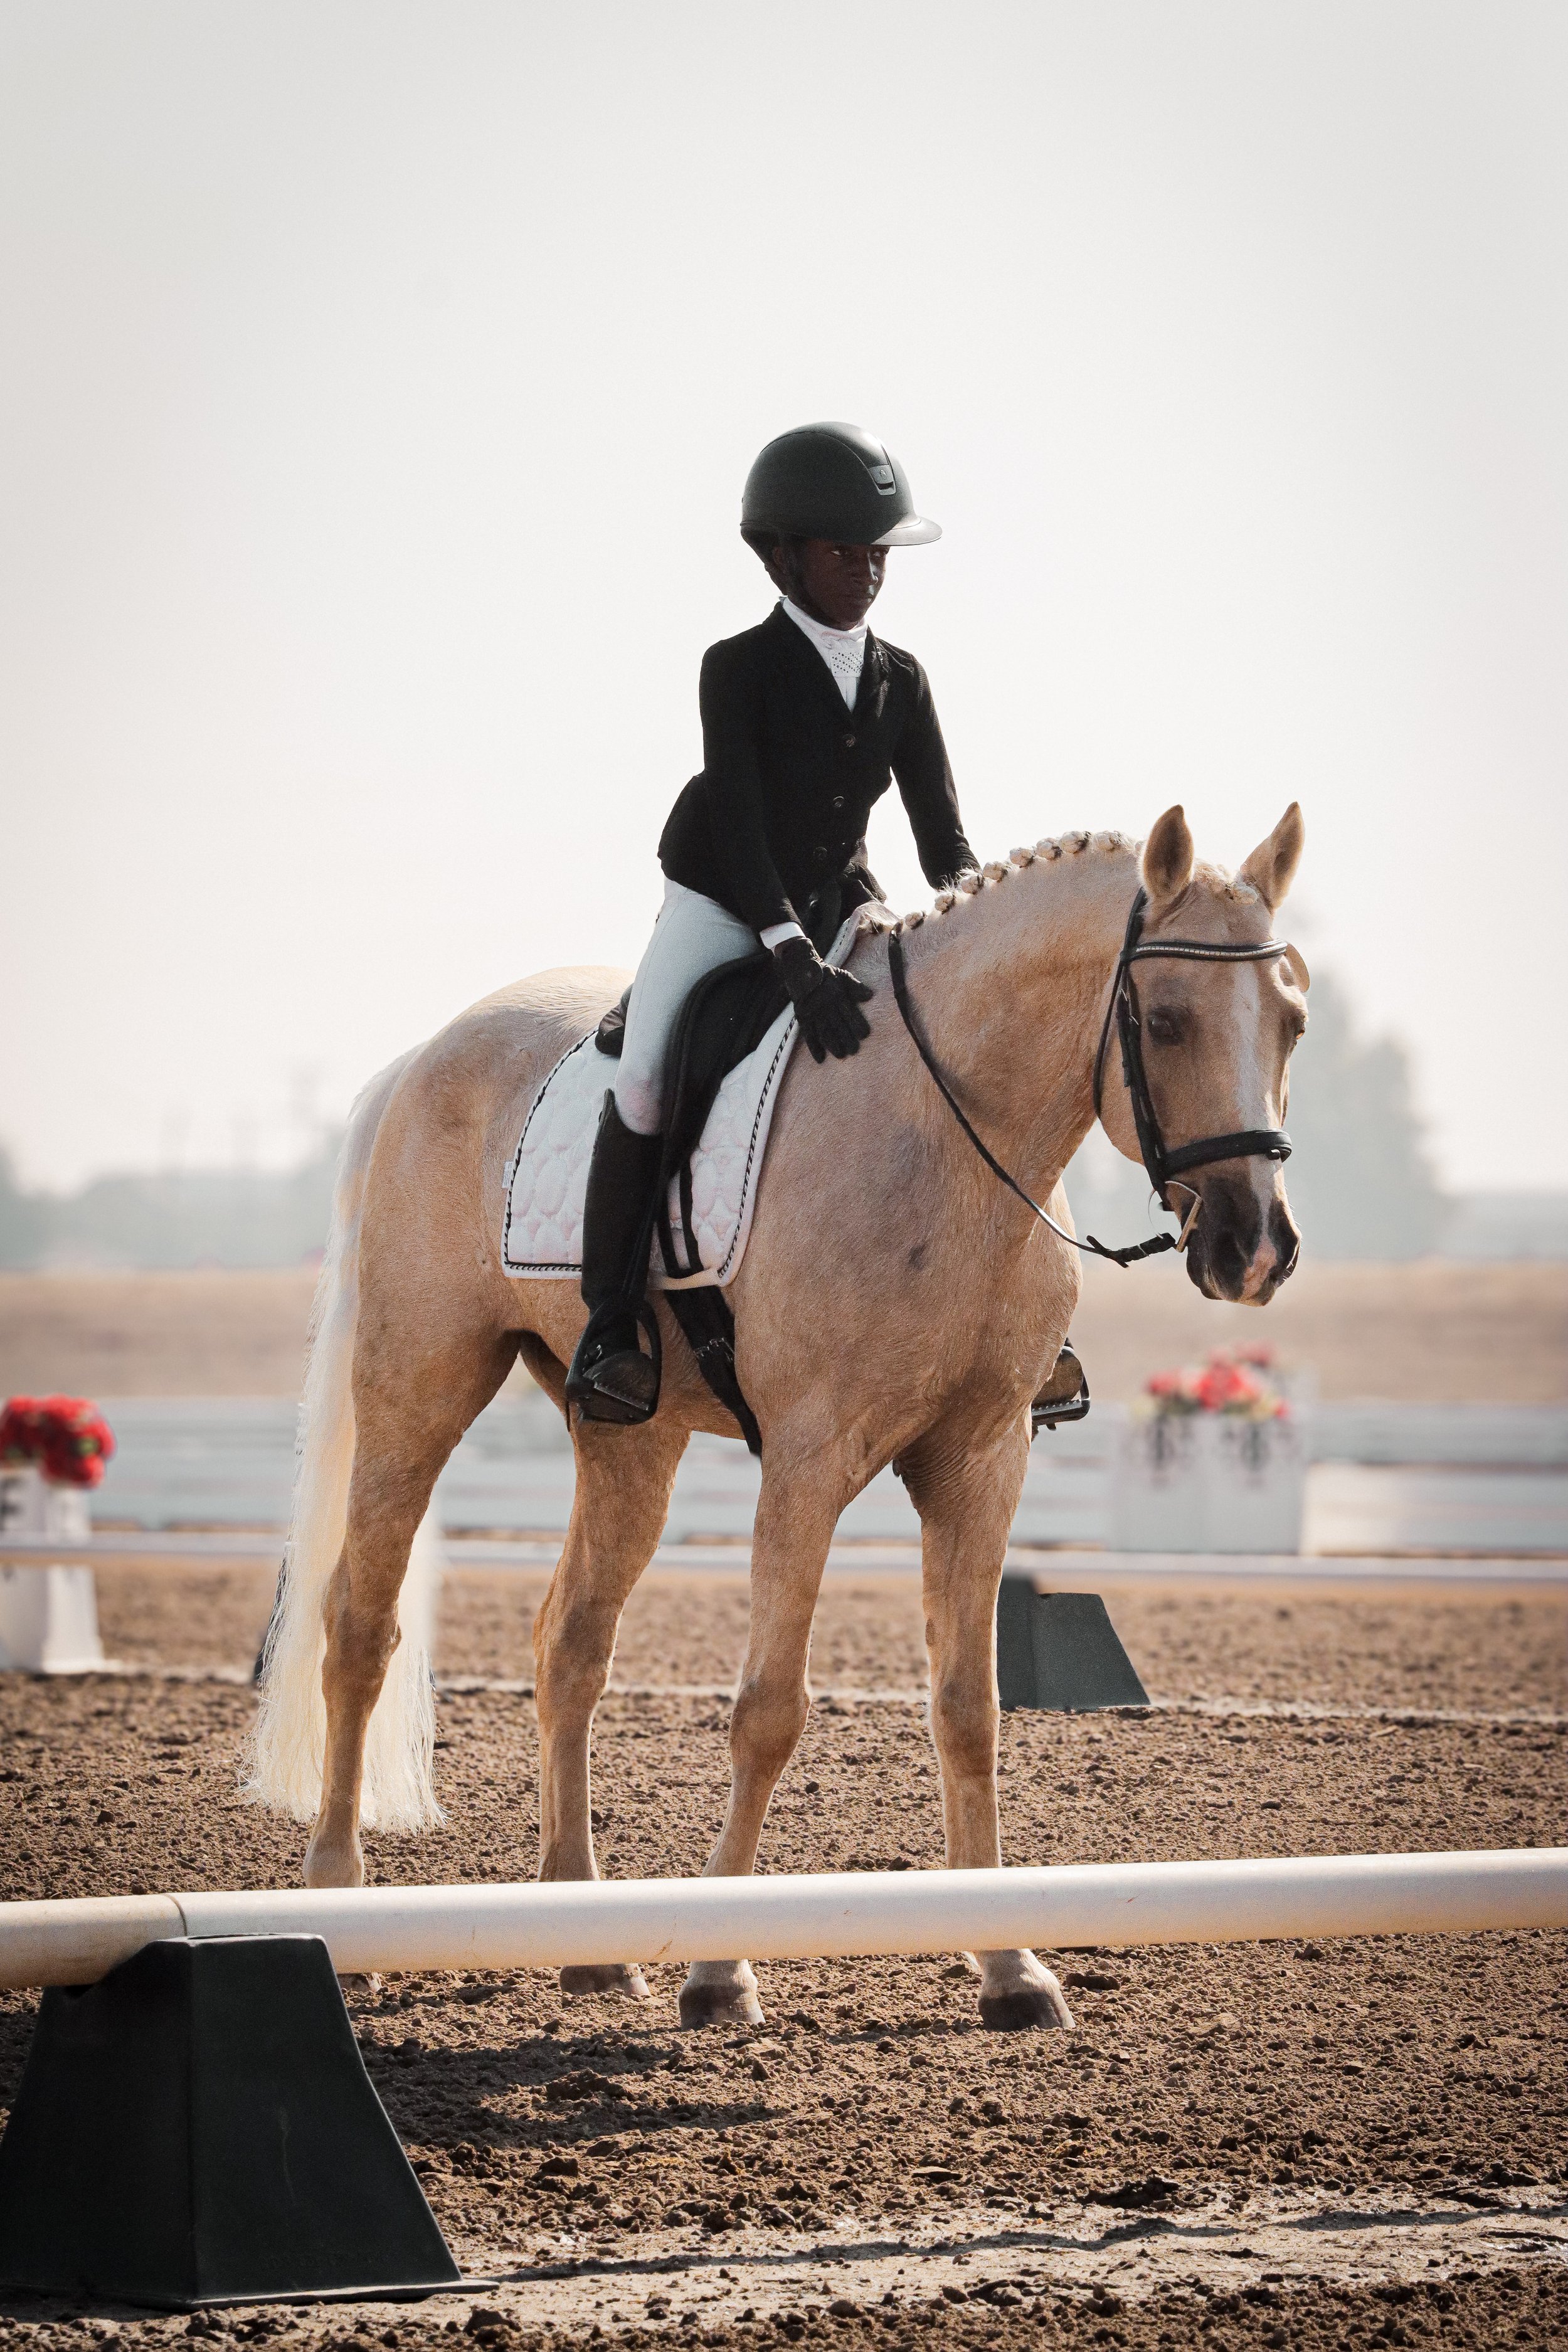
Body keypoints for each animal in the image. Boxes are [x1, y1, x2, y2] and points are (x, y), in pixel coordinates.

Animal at [247, 801, 1307, 2032]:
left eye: (1293, 1021)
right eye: (1169, 1021)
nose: (1254, 1250)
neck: (947, 1133)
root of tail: (422, 1057)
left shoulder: (982, 1458)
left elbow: (970, 1707)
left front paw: (1009, 1967)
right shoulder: (810, 1458)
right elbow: (769, 1709)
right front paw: (720, 1969)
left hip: (631, 1434)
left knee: (571, 1643)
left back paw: (586, 1935)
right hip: (419, 1384)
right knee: (360, 1626)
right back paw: (341, 1904)